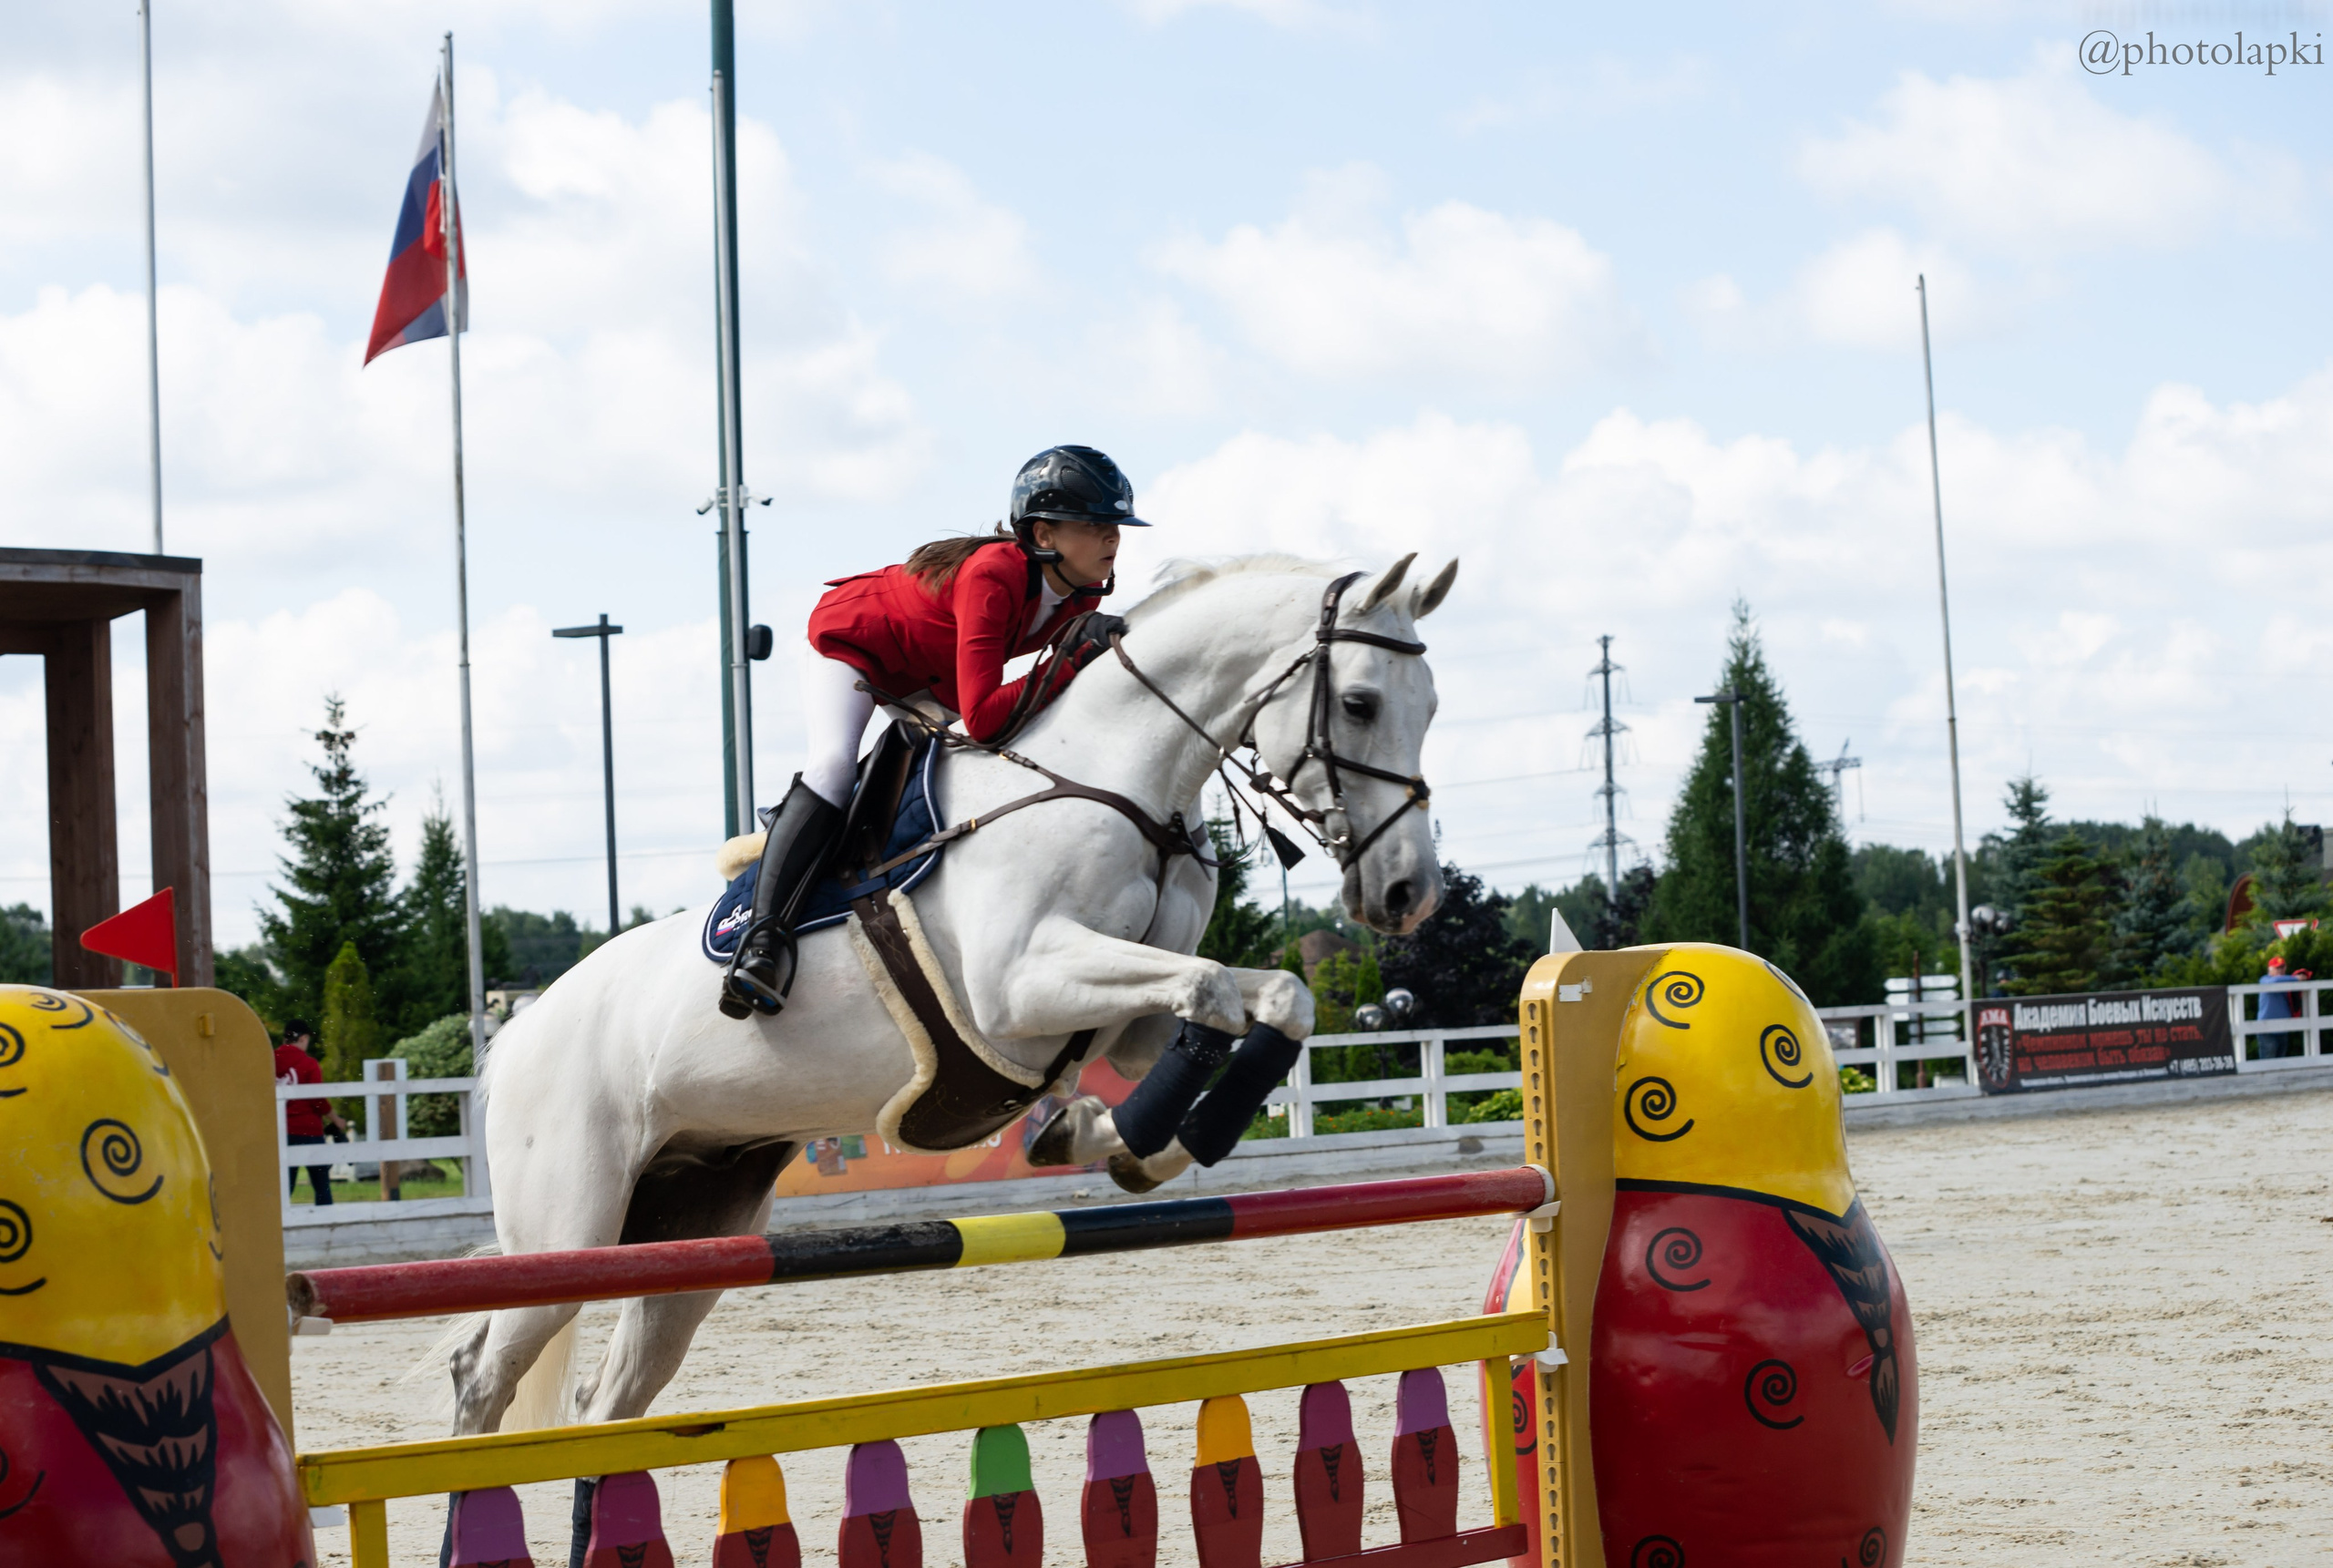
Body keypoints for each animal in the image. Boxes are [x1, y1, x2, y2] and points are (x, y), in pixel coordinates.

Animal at [446, 552, 1457, 1442]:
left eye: (1432, 705)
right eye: (1360, 703)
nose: (1408, 893)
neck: (1120, 783)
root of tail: (517, 1031)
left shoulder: (1125, 1020)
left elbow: (1272, 997)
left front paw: (1114, 1139)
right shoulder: (1020, 987)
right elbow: (1208, 989)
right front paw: (1121, 1136)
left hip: (694, 1222)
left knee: (606, 1397)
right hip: (569, 1222)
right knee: (485, 1369)